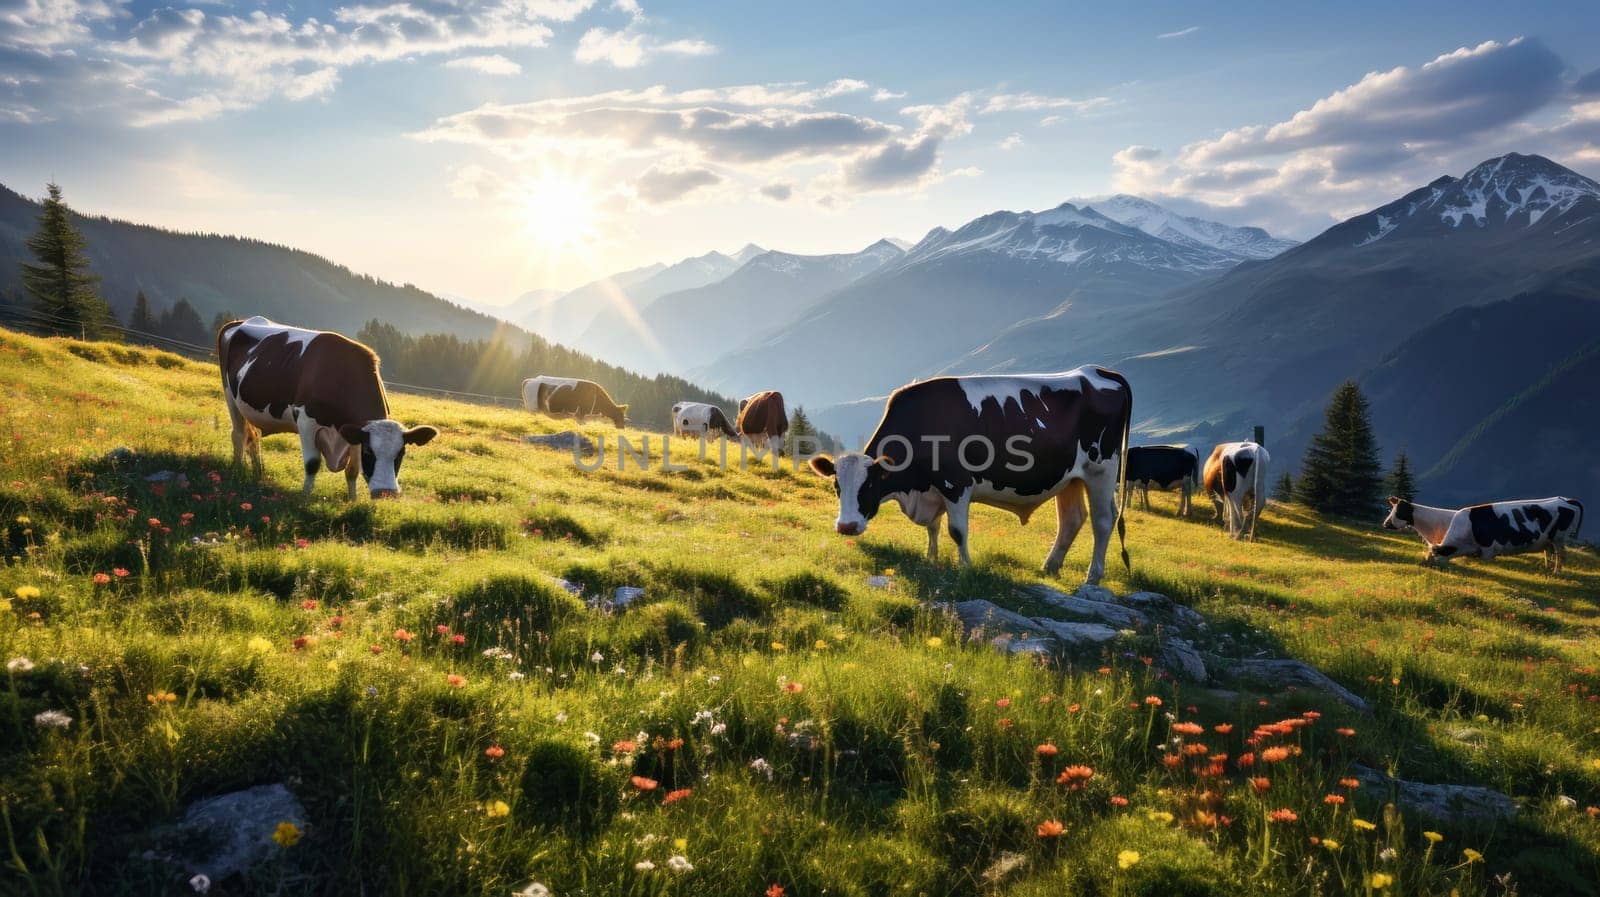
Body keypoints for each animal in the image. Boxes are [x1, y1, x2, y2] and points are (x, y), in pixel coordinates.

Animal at [217, 313, 438, 495]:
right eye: (369, 451)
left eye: (401, 453)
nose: (386, 492)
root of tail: (237, 322)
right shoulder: (306, 422)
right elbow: (312, 464)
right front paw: (304, 499)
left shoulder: (354, 432)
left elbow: (352, 471)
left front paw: (352, 501)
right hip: (229, 396)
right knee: (239, 434)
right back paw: (238, 470)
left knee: (253, 437)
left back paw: (258, 472)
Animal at [806, 366, 1132, 585]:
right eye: (837, 486)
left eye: (871, 483)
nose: (846, 526)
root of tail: (1097, 371)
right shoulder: (932, 490)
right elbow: (933, 528)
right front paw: (932, 557)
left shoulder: (956, 483)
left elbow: (957, 530)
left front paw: (965, 567)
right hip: (1069, 478)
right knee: (1072, 519)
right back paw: (1050, 566)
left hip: (1101, 470)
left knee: (1103, 521)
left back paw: (1092, 577)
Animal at [1382, 492, 1580, 569]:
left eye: (1397, 511)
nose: (1385, 524)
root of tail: (1566, 499)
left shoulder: (1487, 549)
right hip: (1549, 540)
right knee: (1550, 553)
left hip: (1560, 539)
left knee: (1560, 556)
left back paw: (1556, 572)